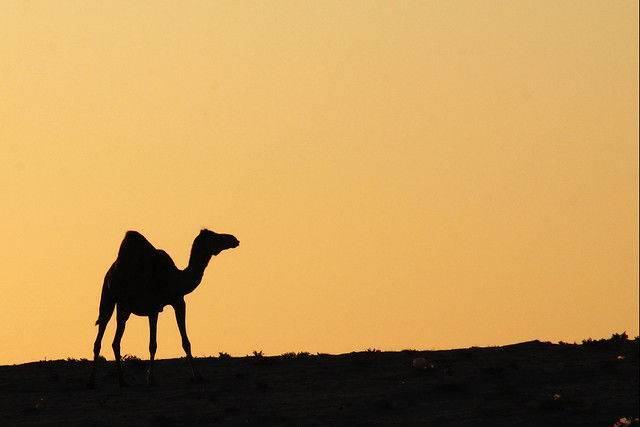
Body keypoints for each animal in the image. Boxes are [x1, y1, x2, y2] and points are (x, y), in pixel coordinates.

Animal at [88, 229, 239, 387]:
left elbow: (184, 342)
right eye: (214, 236)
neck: (176, 279)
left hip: (123, 307)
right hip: (108, 299)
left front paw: (196, 376)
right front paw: (152, 379)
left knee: (115, 342)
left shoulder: (176, 301)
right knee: (102, 334)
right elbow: (155, 344)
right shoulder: (158, 307)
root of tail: (110, 273)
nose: (234, 239)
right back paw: (93, 381)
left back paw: (121, 381)